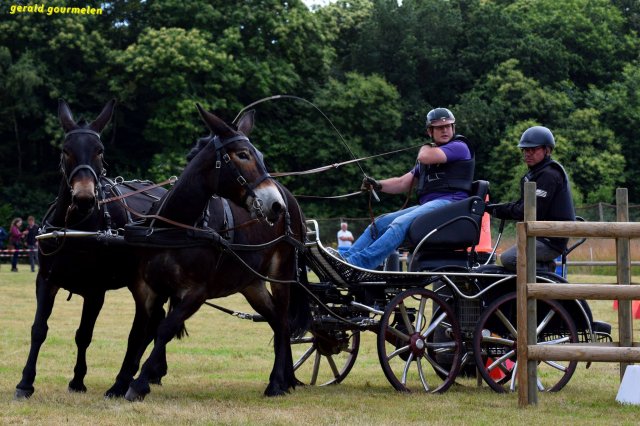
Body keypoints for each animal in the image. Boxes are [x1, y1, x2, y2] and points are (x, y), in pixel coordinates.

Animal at [15, 100, 169, 400]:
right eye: (66, 150)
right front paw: (25, 382)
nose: (85, 197)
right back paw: (151, 373)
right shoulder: (46, 280)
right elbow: (39, 329)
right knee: (156, 321)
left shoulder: (95, 290)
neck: (75, 228)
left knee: (147, 327)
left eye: (100, 151)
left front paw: (77, 380)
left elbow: (83, 334)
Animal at [122, 105, 310, 402]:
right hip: (251, 283)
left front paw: (139, 384)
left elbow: (165, 328)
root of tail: (291, 200)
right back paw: (286, 379)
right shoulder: (151, 288)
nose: (274, 205)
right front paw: (121, 384)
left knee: (282, 322)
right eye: (243, 154)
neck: (177, 226)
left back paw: (276, 382)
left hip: (282, 274)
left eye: (261, 156)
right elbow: (141, 332)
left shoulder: (196, 293)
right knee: (275, 321)